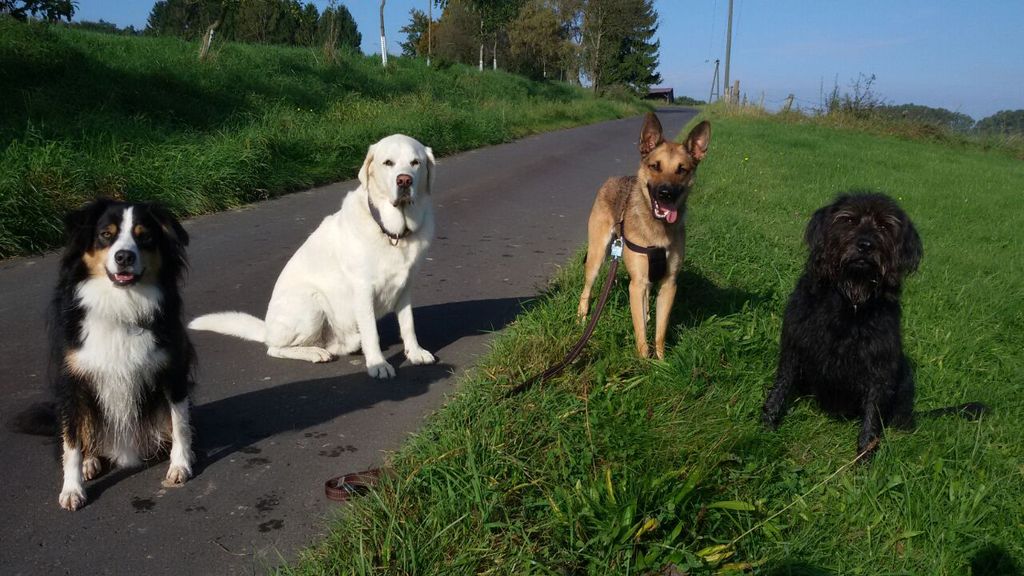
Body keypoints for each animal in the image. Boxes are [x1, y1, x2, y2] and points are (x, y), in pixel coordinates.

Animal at [192, 134, 436, 377]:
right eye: (388, 163)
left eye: (415, 162)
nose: (404, 181)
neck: (392, 233)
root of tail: (267, 329)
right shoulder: (363, 290)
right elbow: (372, 333)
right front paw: (378, 364)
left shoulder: (404, 287)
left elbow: (408, 324)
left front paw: (415, 352)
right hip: (311, 303)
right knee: (275, 348)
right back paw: (313, 353)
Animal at [577, 111, 712, 358]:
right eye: (655, 166)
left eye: (682, 170)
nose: (665, 194)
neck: (658, 227)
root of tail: (613, 178)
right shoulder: (637, 284)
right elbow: (640, 332)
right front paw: (643, 362)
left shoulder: (668, 285)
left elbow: (660, 332)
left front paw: (661, 361)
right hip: (597, 256)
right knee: (588, 288)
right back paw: (582, 316)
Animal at [761, 192, 983, 457]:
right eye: (848, 219)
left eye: (885, 225)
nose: (865, 245)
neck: (851, 302)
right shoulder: (795, 345)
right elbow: (781, 386)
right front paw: (766, 427)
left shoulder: (881, 365)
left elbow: (871, 418)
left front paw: (864, 459)